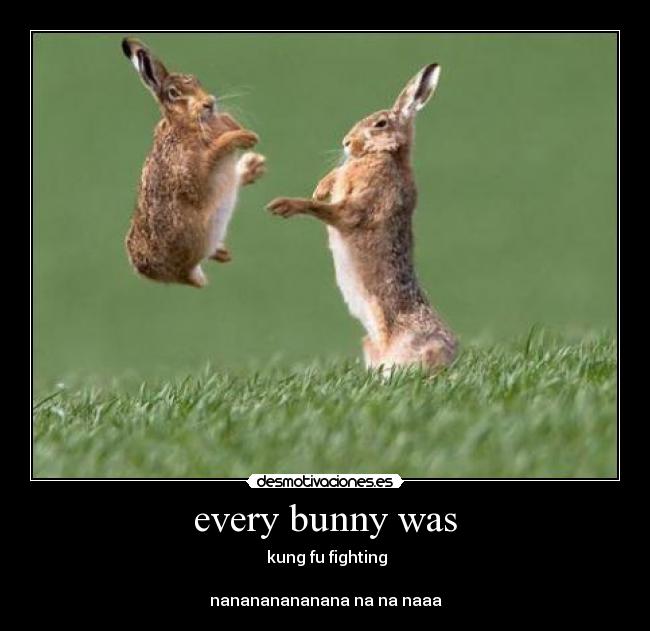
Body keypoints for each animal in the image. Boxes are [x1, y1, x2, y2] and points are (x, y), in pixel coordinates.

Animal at [121, 37, 266, 288]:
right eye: (173, 93)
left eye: (197, 80)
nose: (209, 103)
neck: (186, 125)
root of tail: (144, 270)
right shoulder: (190, 173)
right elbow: (214, 152)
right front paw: (246, 137)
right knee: (195, 279)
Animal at [267, 63, 457, 372]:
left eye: (380, 124)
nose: (346, 142)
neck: (387, 155)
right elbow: (334, 180)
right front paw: (320, 188)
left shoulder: (357, 209)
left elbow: (329, 210)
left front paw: (284, 205)